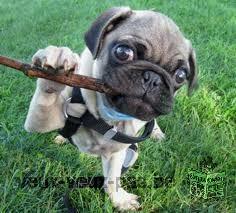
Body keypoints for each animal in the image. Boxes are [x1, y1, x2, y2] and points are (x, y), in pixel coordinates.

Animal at [24, 7, 197, 211]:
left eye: (180, 76)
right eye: (123, 52)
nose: (153, 78)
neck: (104, 117)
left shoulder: (117, 152)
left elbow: (112, 179)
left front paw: (119, 201)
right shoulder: (42, 119)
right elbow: (48, 93)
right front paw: (56, 65)